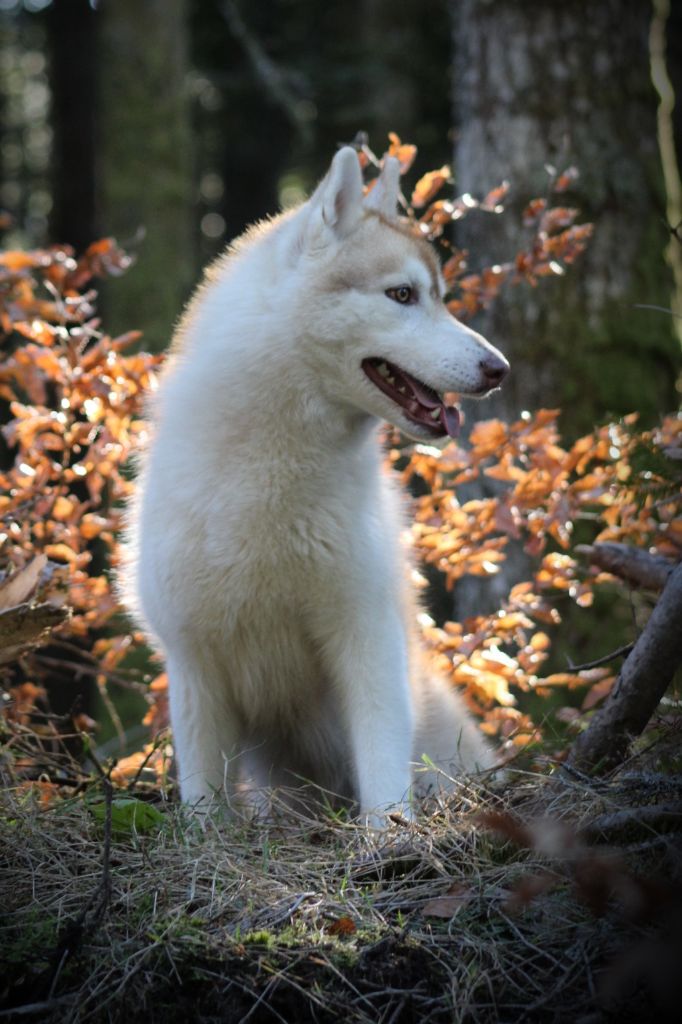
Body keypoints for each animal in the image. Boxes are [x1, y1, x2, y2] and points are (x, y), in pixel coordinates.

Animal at [124, 147, 509, 825]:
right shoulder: (195, 664)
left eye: (438, 297)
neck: (271, 475)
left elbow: (382, 772)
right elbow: (203, 799)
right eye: (403, 294)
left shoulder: (366, 637)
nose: (498, 369)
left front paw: (389, 838)